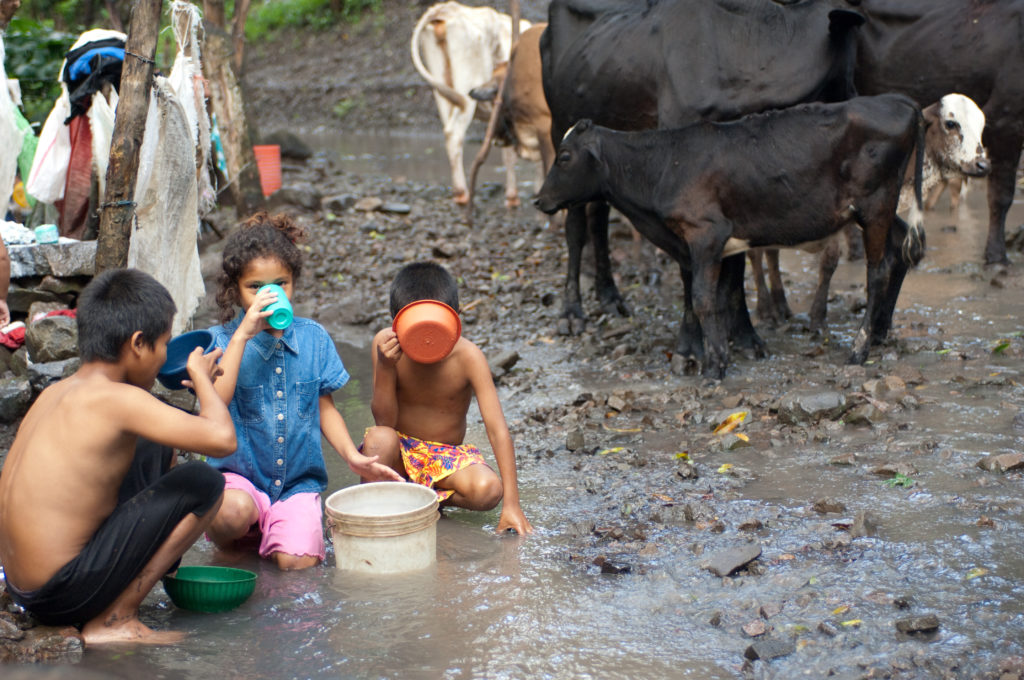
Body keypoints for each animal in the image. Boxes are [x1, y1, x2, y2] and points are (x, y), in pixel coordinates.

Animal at [536, 94, 929, 378]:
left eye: (565, 156)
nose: (540, 199)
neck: (665, 165)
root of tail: (897, 100)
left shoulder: (707, 233)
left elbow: (704, 298)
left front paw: (714, 364)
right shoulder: (689, 244)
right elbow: (700, 296)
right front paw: (692, 353)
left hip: (875, 205)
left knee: (877, 272)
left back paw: (859, 349)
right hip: (882, 209)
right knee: (901, 249)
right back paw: (879, 333)